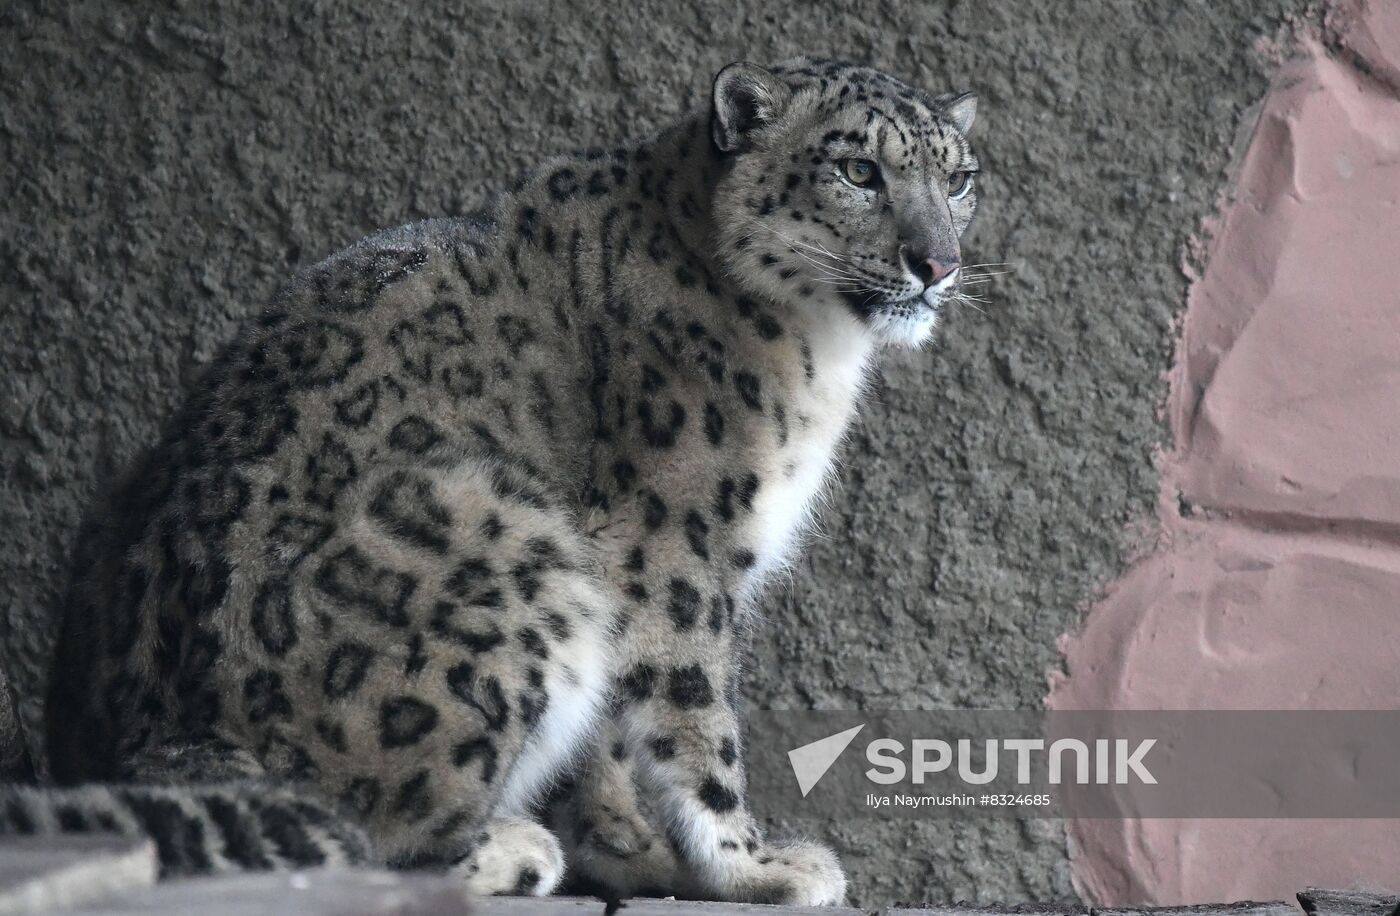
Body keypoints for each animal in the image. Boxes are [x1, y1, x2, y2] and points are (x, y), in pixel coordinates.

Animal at [0, 56, 980, 906]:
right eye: (858, 170)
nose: (937, 262)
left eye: (962, 179)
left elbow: (607, 745)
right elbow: (693, 720)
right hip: (509, 535)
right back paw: (514, 846)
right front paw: (752, 867)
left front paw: (637, 852)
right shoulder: (673, 546)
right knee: (370, 839)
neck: (820, 352)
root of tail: (163, 735)